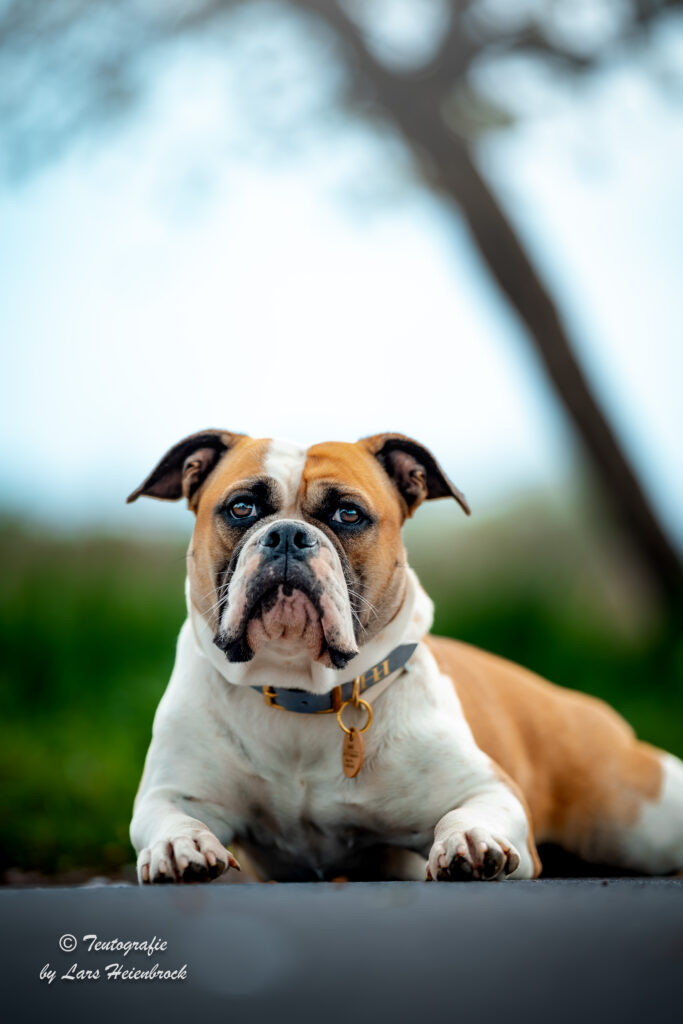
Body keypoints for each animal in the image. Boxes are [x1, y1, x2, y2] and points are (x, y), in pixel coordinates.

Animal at [127, 430, 683, 880]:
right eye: (242, 508)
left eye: (348, 514)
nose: (288, 535)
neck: (300, 690)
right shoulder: (170, 791)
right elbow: (169, 815)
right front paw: (179, 845)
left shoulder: (489, 789)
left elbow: (468, 812)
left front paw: (469, 840)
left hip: (643, 819)